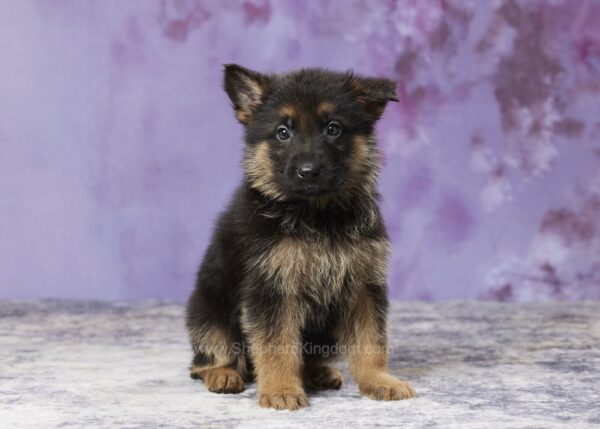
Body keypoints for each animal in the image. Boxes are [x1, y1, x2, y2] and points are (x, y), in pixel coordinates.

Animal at [188, 63, 418, 408]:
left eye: (333, 128)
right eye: (283, 132)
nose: (308, 172)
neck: (317, 214)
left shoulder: (363, 285)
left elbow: (371, 340)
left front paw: (379, 380)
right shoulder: (273, 287)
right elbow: (277, 344)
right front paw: (281, 390)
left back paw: (316, 373)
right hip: (207, 313)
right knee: (206, 358)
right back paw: (223, 374)